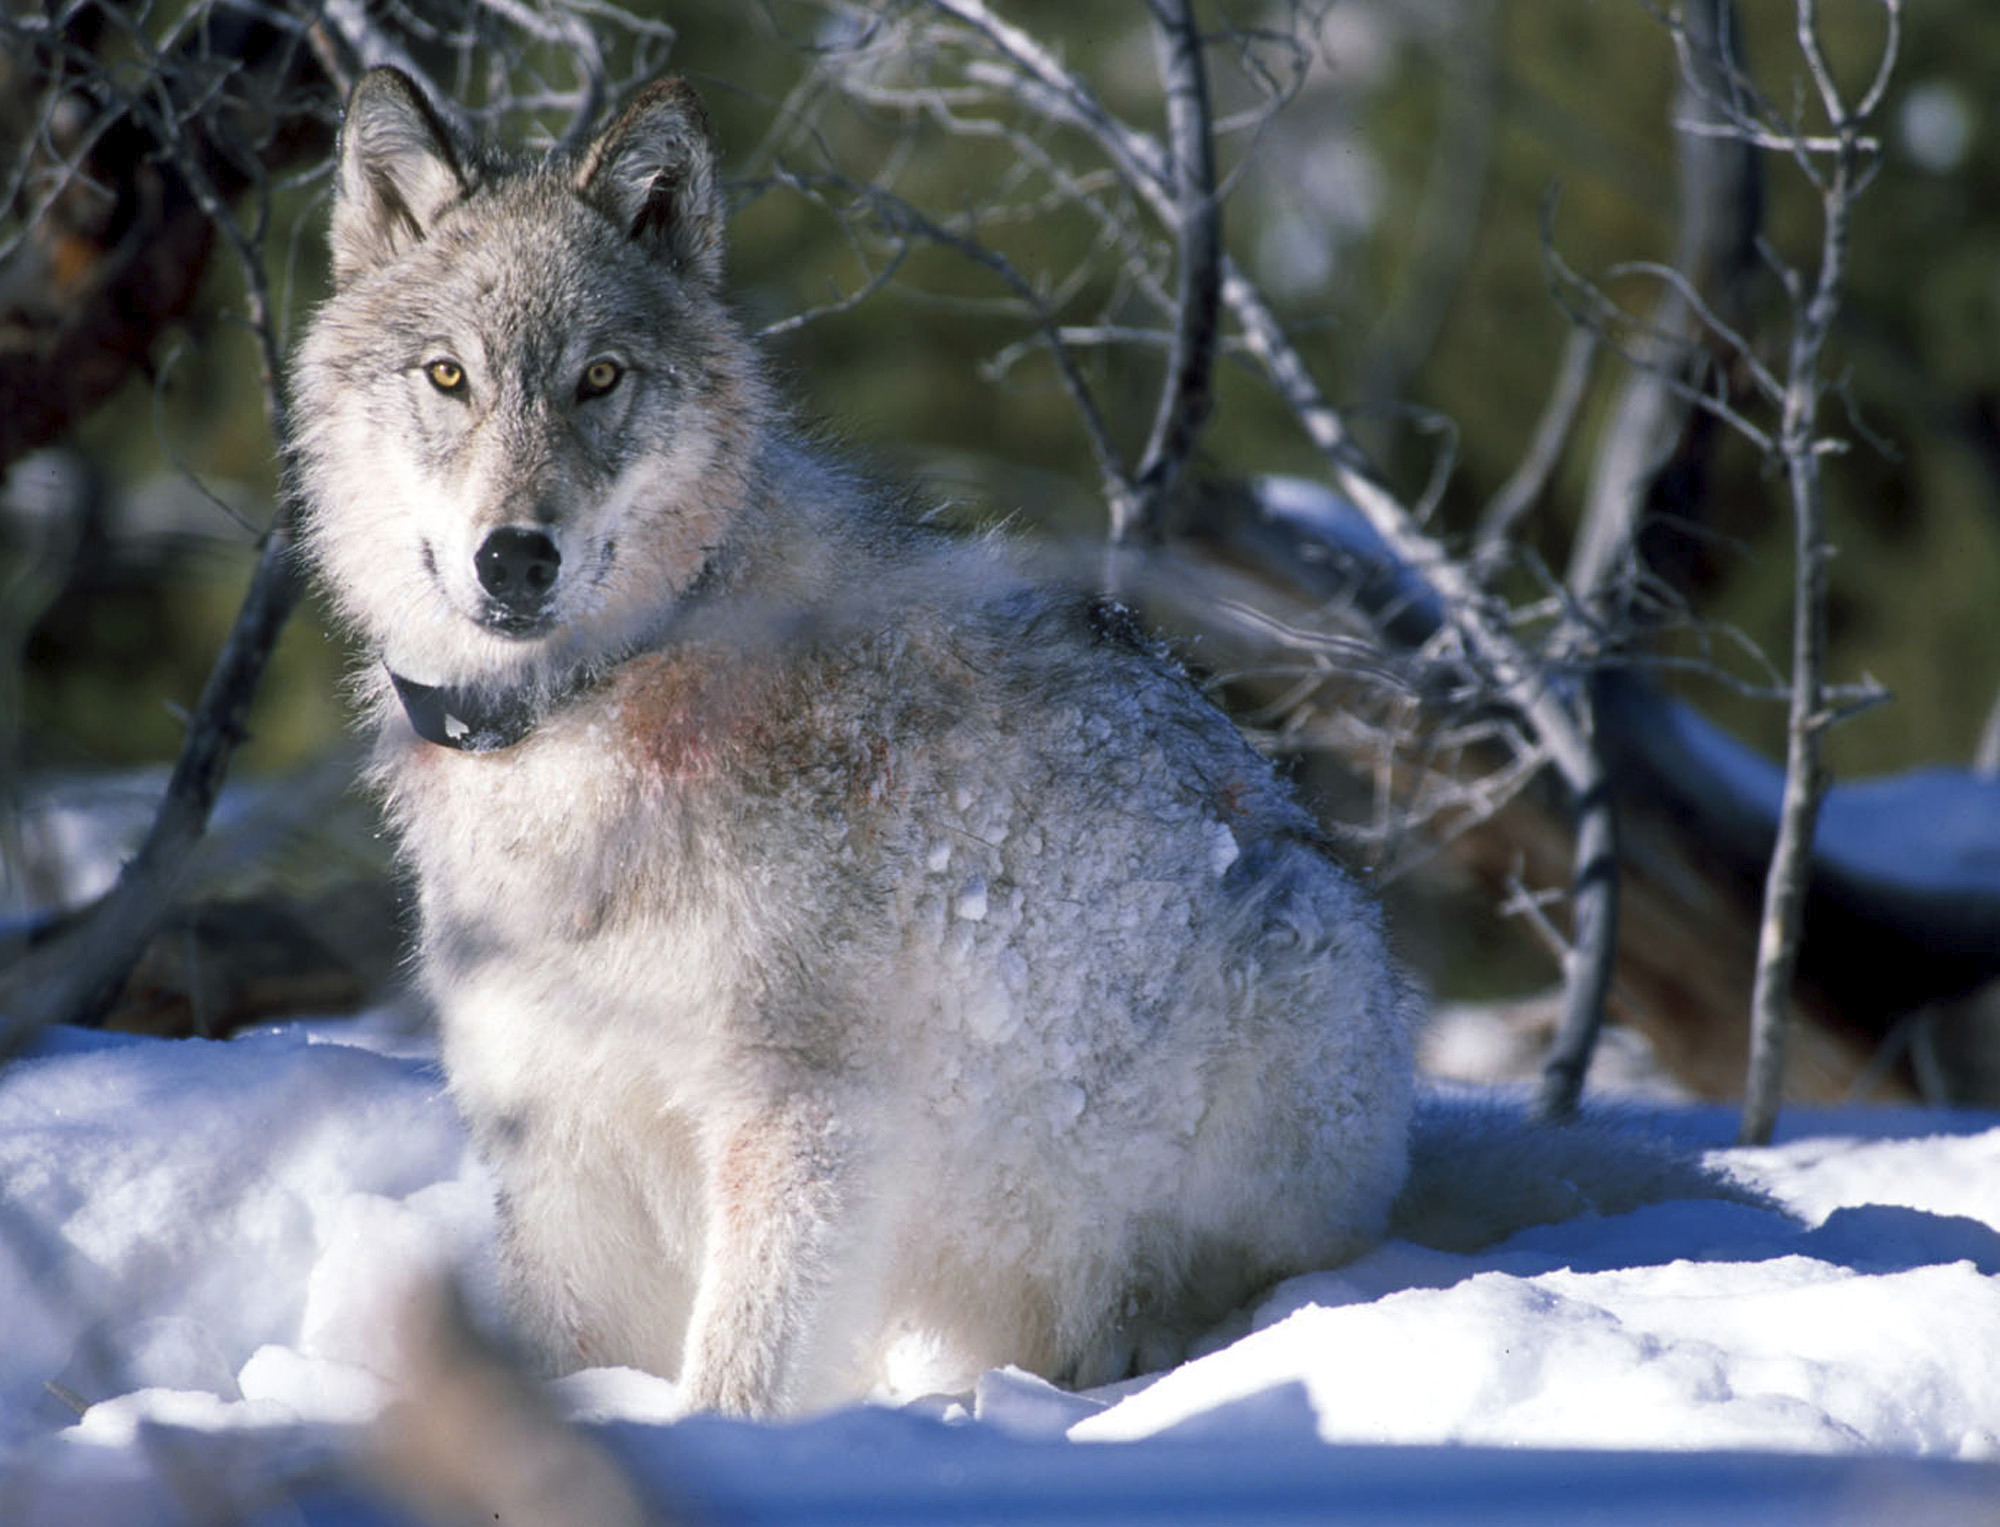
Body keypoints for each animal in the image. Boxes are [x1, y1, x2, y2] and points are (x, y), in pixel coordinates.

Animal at [293, 69, 1730, 1417]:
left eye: (599, 378)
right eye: (448, 376)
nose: (515, 556)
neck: (584, 715)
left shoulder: (802, 1124)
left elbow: (739, 1374)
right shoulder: (562, 1145)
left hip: (1283, 962)